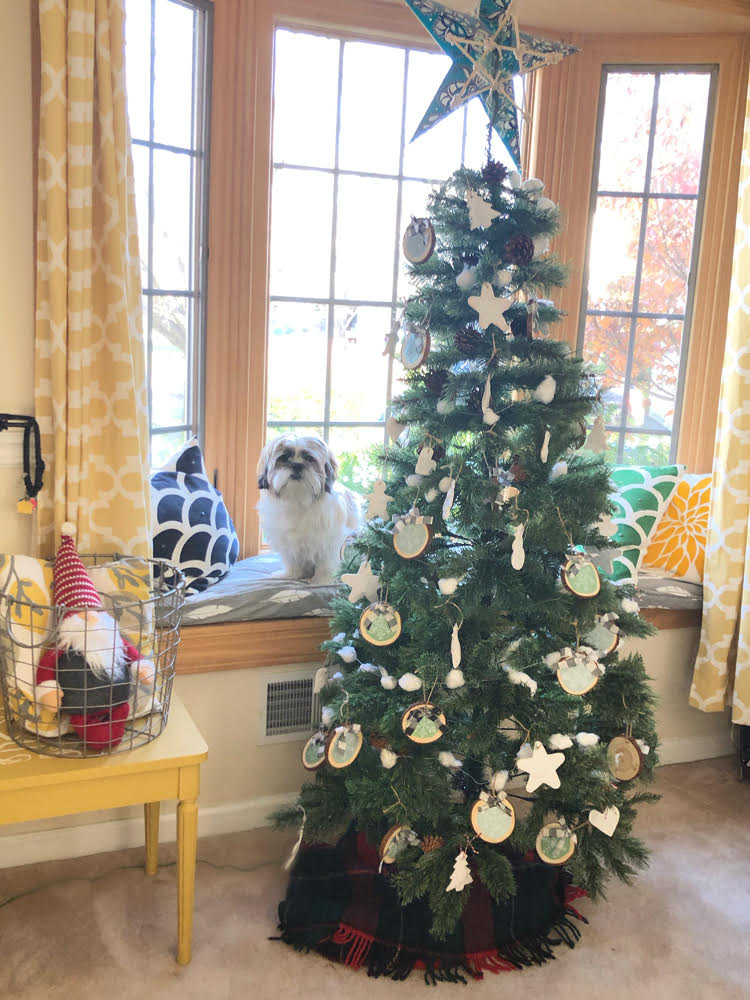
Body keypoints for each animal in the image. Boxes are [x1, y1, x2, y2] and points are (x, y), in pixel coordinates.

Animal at [258, 432, 362, 584]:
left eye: (309, 458)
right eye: (284, 457)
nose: (296, 465)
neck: (298, 500)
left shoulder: (330, 540)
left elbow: (326, 561)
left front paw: (322, 579)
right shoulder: (287, 541)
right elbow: (292, 560)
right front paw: (291, 574)